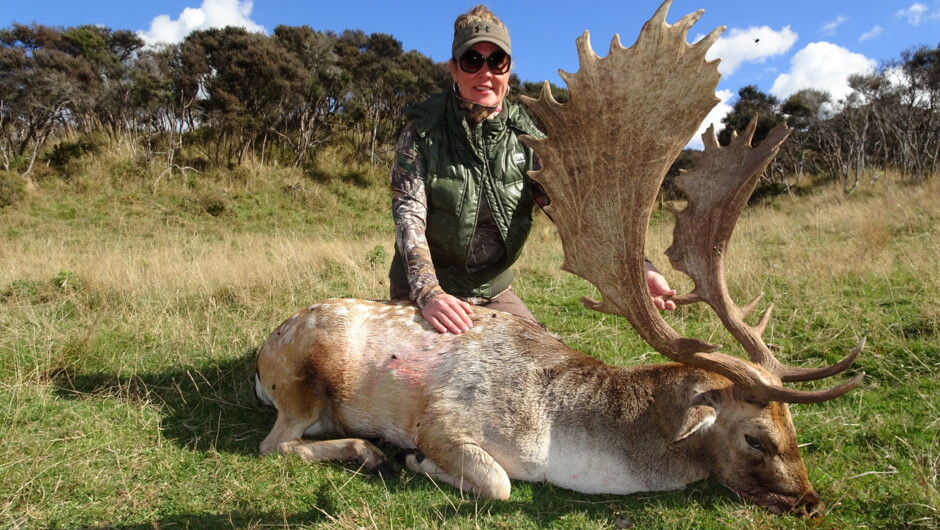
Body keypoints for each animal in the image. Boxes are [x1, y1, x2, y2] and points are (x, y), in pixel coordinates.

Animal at [252, 0, 864, 516]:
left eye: (794, 428)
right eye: (756, 437)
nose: (813, 502)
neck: (553, 438)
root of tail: (262, 357)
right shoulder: (446, 420)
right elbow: (496, 481)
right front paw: (413, 459)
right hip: (302, 383)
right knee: (273, 444)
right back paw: (368, 451)